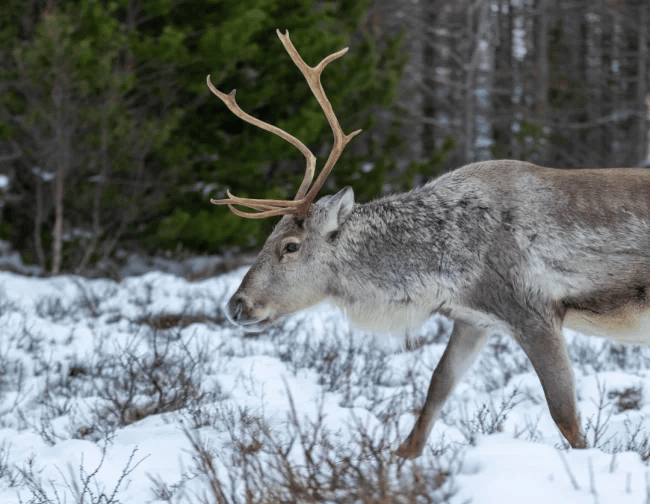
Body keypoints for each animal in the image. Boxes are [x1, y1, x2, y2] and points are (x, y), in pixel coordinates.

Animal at [207, 29, 650, 459]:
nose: (236, 305)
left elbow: (565, 415)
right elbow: (438, 385)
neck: (441, 266)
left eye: (291, 246)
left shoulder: (534, 311)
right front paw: (402, 457)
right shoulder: (474, 318)